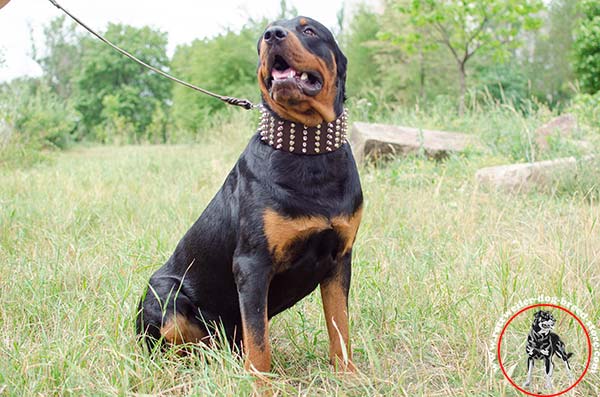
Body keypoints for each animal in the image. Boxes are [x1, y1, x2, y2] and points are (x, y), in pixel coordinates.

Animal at [136, 16, 360, 374]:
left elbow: (340, 327)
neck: (307, 152)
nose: (273, 35)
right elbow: (258, 341)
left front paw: (348, 376)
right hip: (164, 293)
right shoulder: (252, 264)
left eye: (309, 30)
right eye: (262, 37)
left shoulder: (340, 260)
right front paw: (261, 382)